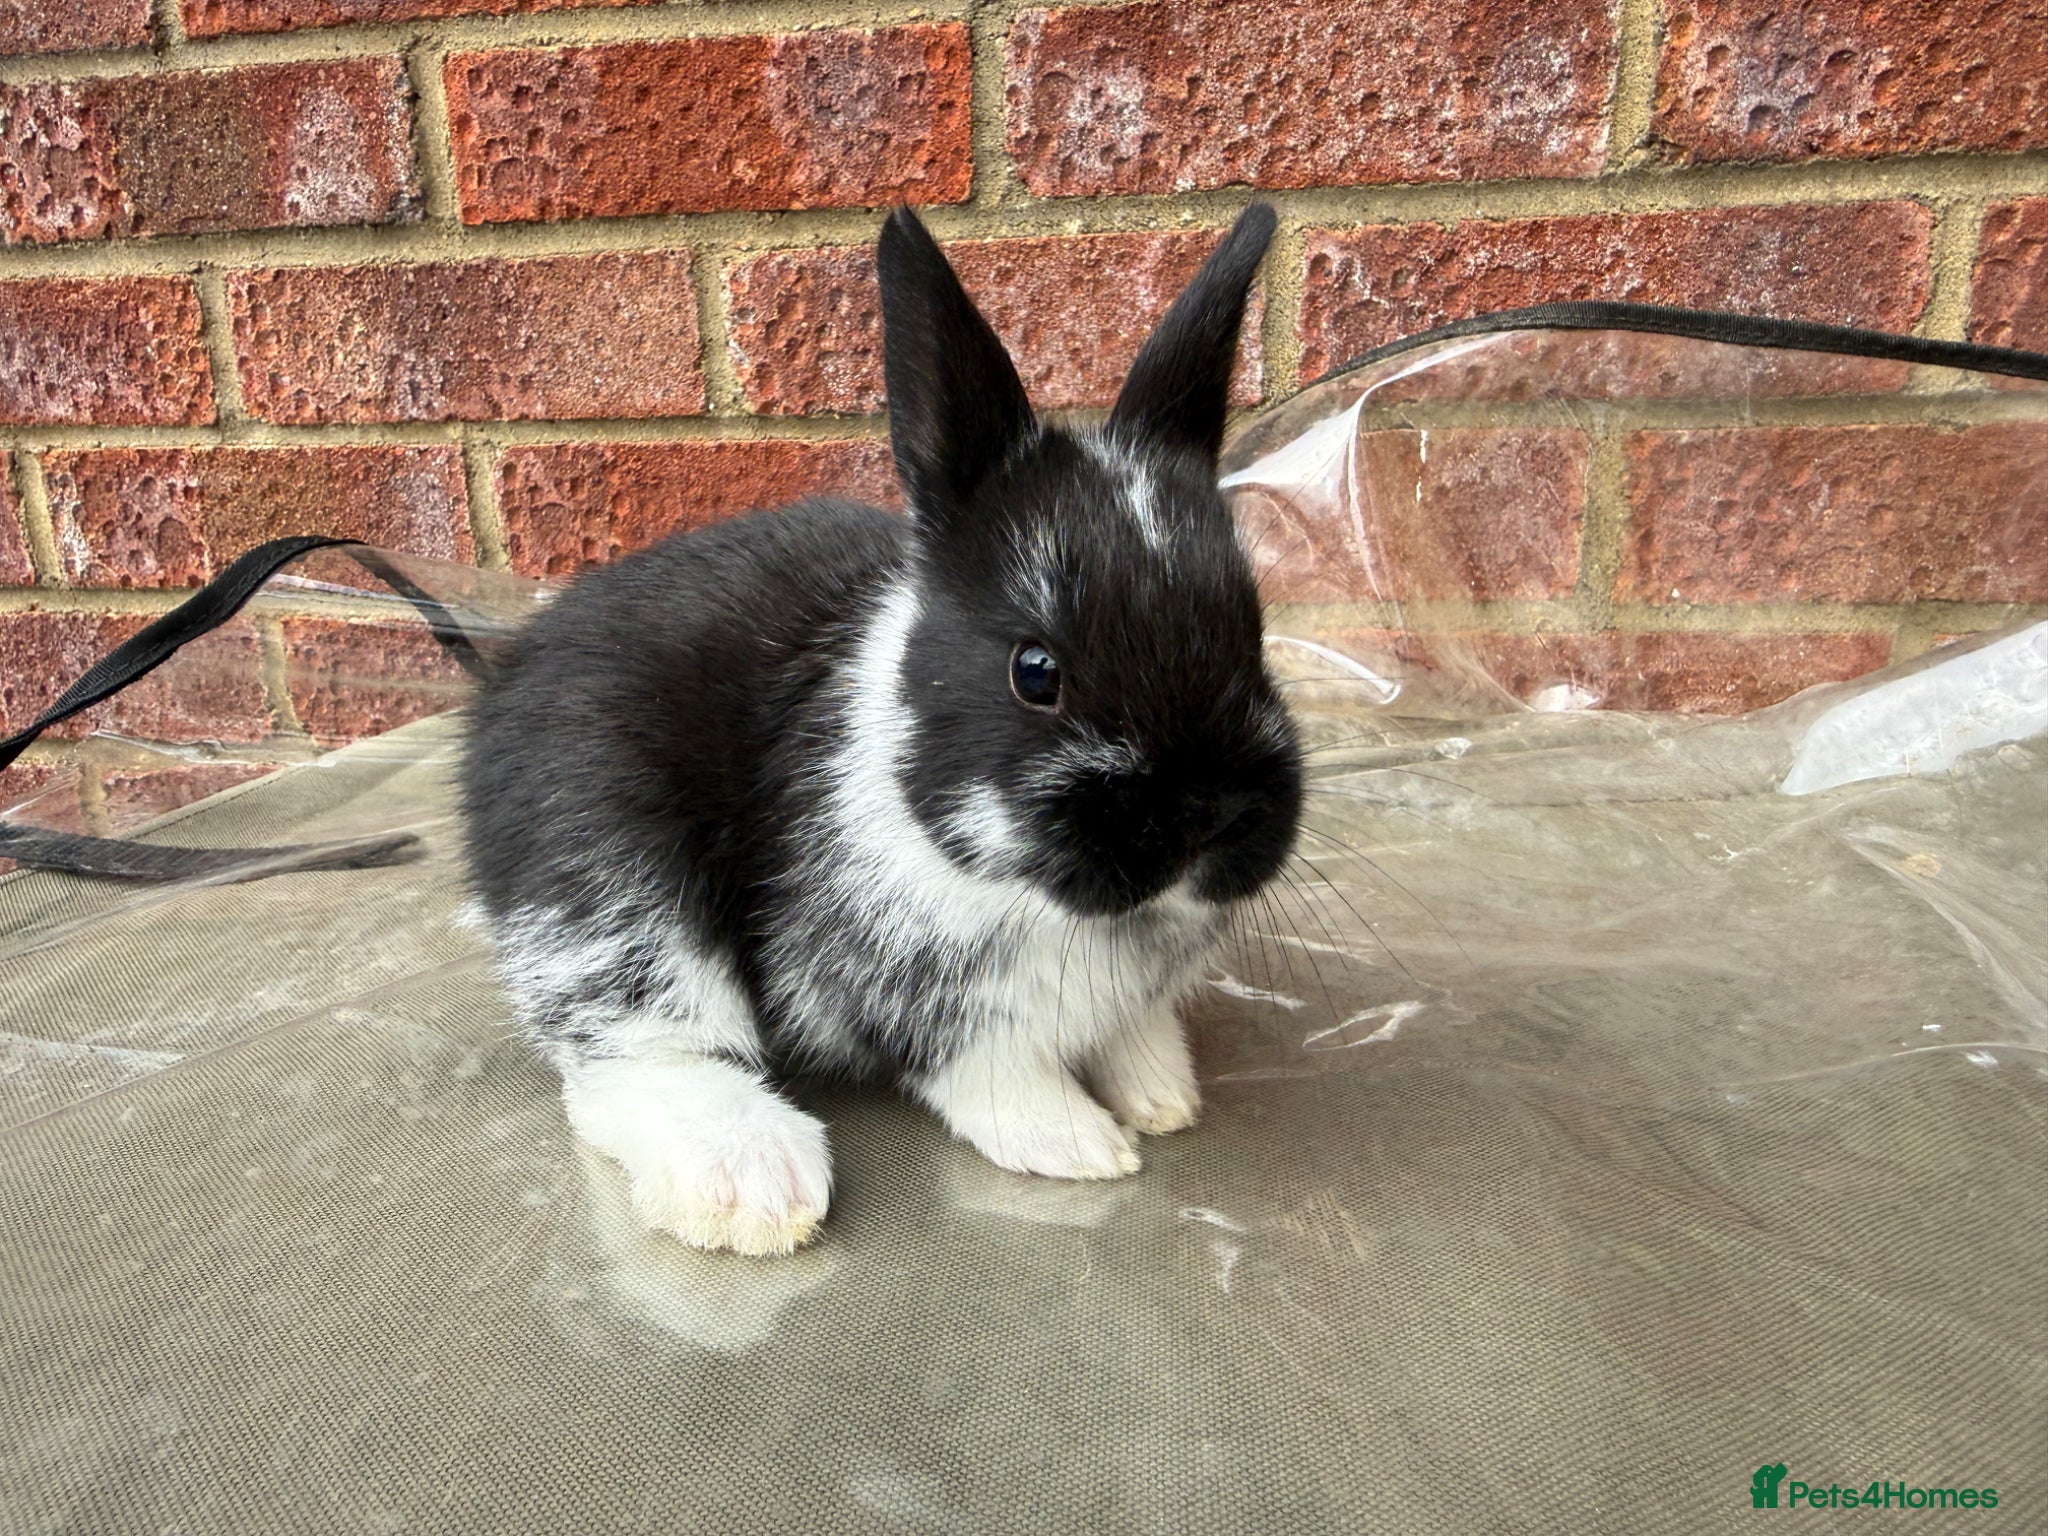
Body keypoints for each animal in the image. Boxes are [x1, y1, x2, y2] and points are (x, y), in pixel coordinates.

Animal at [461, 202, 1302, 1256]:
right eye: (1035, 671)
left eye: (1254, 633)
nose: (1209, 818)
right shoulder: (924, 999)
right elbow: (990, 1072)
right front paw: (1079, 1144)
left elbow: (1132, 1036)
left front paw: (1161, 1096)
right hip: (609, 880)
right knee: (627, 1060)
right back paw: (753, 1183)